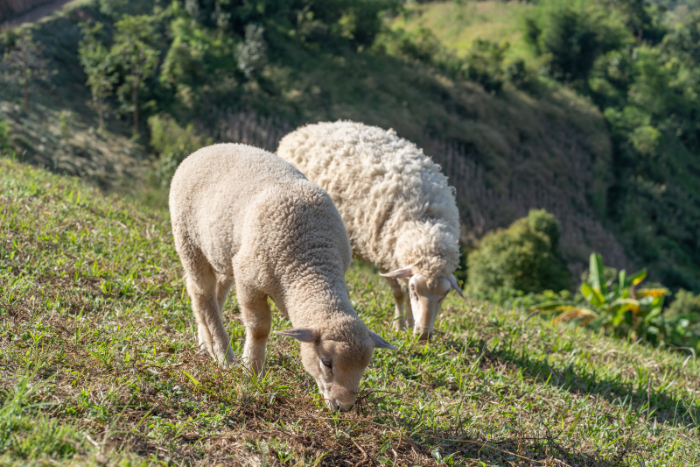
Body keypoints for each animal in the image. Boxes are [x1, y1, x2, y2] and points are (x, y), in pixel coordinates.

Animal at [170, 144, 396, 414]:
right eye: (326, 362)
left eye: (364, 367)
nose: (343, 406)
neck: (310, 261)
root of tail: (203, 149)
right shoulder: (249, 278)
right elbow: (259, 328)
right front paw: (252, 371)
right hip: (188, 240)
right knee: (201, 292)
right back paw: (223, 355)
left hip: (224, 251)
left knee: (215, 294)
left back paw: (206, 343)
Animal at [274, 120, 464, 342]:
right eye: (415, 289)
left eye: (444, 295)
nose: (423, 336)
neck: (427, 219)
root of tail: (305, 129)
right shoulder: (384, 254)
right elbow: (399, 293)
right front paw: (399, 325)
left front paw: (408, 324)